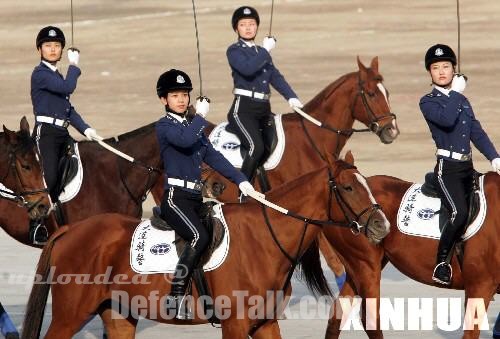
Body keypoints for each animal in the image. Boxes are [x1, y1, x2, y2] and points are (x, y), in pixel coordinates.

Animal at [22, 153, 390, 338]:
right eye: (348, 187)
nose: (381, 225)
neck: (263, 239)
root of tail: (70, 231)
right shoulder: (235, 324)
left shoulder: (265, 324)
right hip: (70, 316)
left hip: (118, 316)